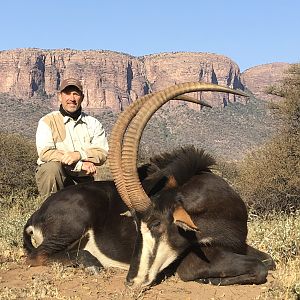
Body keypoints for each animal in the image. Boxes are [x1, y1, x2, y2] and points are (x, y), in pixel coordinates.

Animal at [24, 82, 274, 288]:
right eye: (137, 226)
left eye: (156, 224)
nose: (131, 281)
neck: (217, 209)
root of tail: (37, 213)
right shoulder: (191, 261)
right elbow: (259, 267)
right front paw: (209, 279)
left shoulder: (237, 244)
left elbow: (268, 261)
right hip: (74, 223)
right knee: (36, 256)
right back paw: (91, 262)